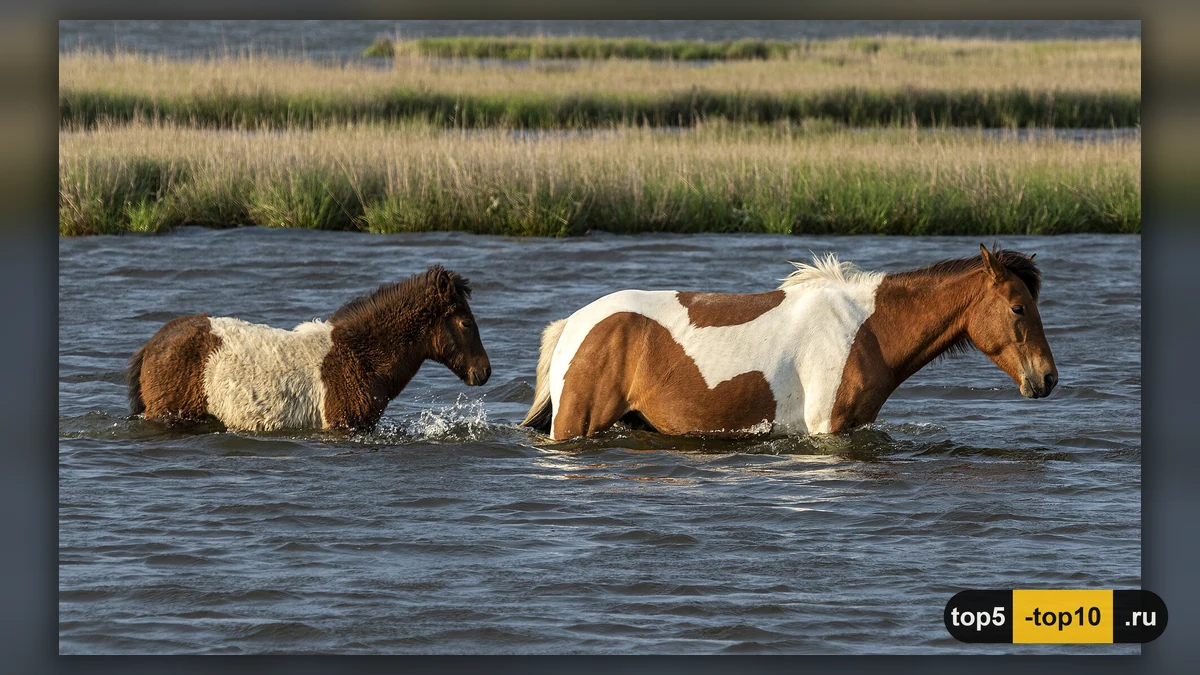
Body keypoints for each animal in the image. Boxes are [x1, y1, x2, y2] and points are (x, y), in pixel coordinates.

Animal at [522, 245, 1057, 441]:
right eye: (1018, 308)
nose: (1047, 378)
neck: (865, 329)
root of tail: (573, 324)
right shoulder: (826, 428)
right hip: (576, 423)